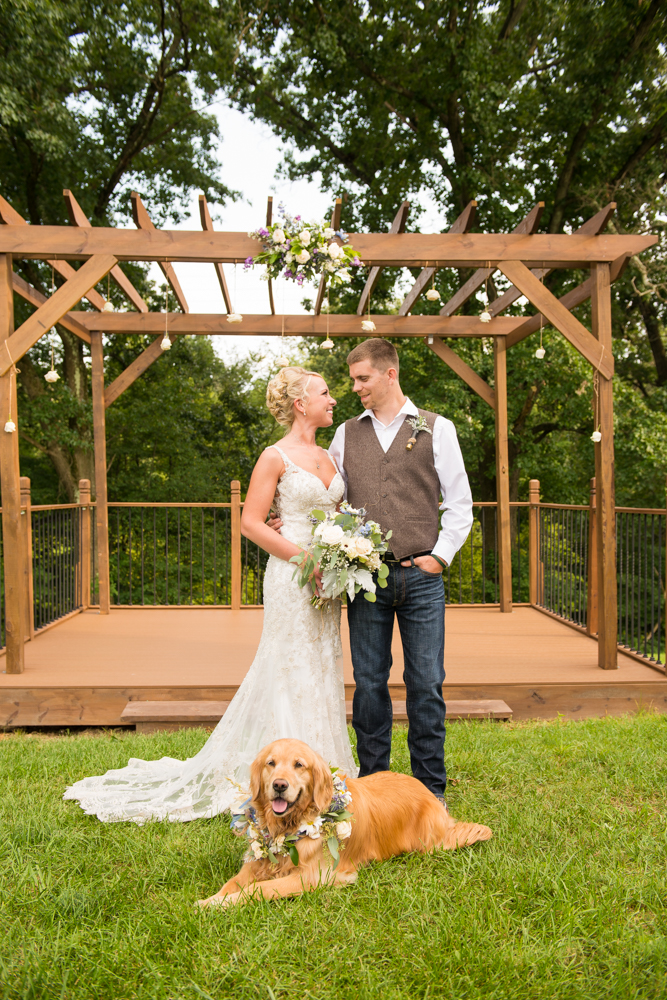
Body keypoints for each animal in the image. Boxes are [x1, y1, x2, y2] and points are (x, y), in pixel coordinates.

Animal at [197, 736, 490, 908]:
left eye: (299, 765)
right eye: (271, 763)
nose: (279, 785)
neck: (291, 826)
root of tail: (428, 793)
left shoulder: (315, 876)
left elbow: (260, 888)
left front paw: (220, 904)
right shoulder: (259, 861)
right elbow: (234, 882)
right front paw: (212, 899)